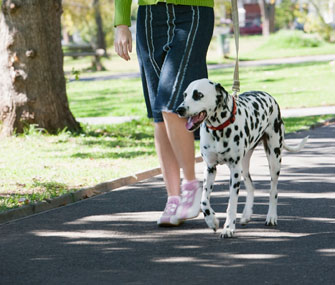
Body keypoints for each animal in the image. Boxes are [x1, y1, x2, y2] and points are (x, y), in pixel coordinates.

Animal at [177, 77, 308, 237]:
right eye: (185, 95)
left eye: (198, 95)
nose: (179, 109)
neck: (219, 129)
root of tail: (268, 96)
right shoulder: (210, 168)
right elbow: (204, 201)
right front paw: (212, 221)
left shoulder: (234, 171)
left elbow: (232, 202)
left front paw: (228, 228)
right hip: (244, 167)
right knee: (251, 186)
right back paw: (246, 215)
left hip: (274, 159)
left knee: (273, 190)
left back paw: (271, 216)